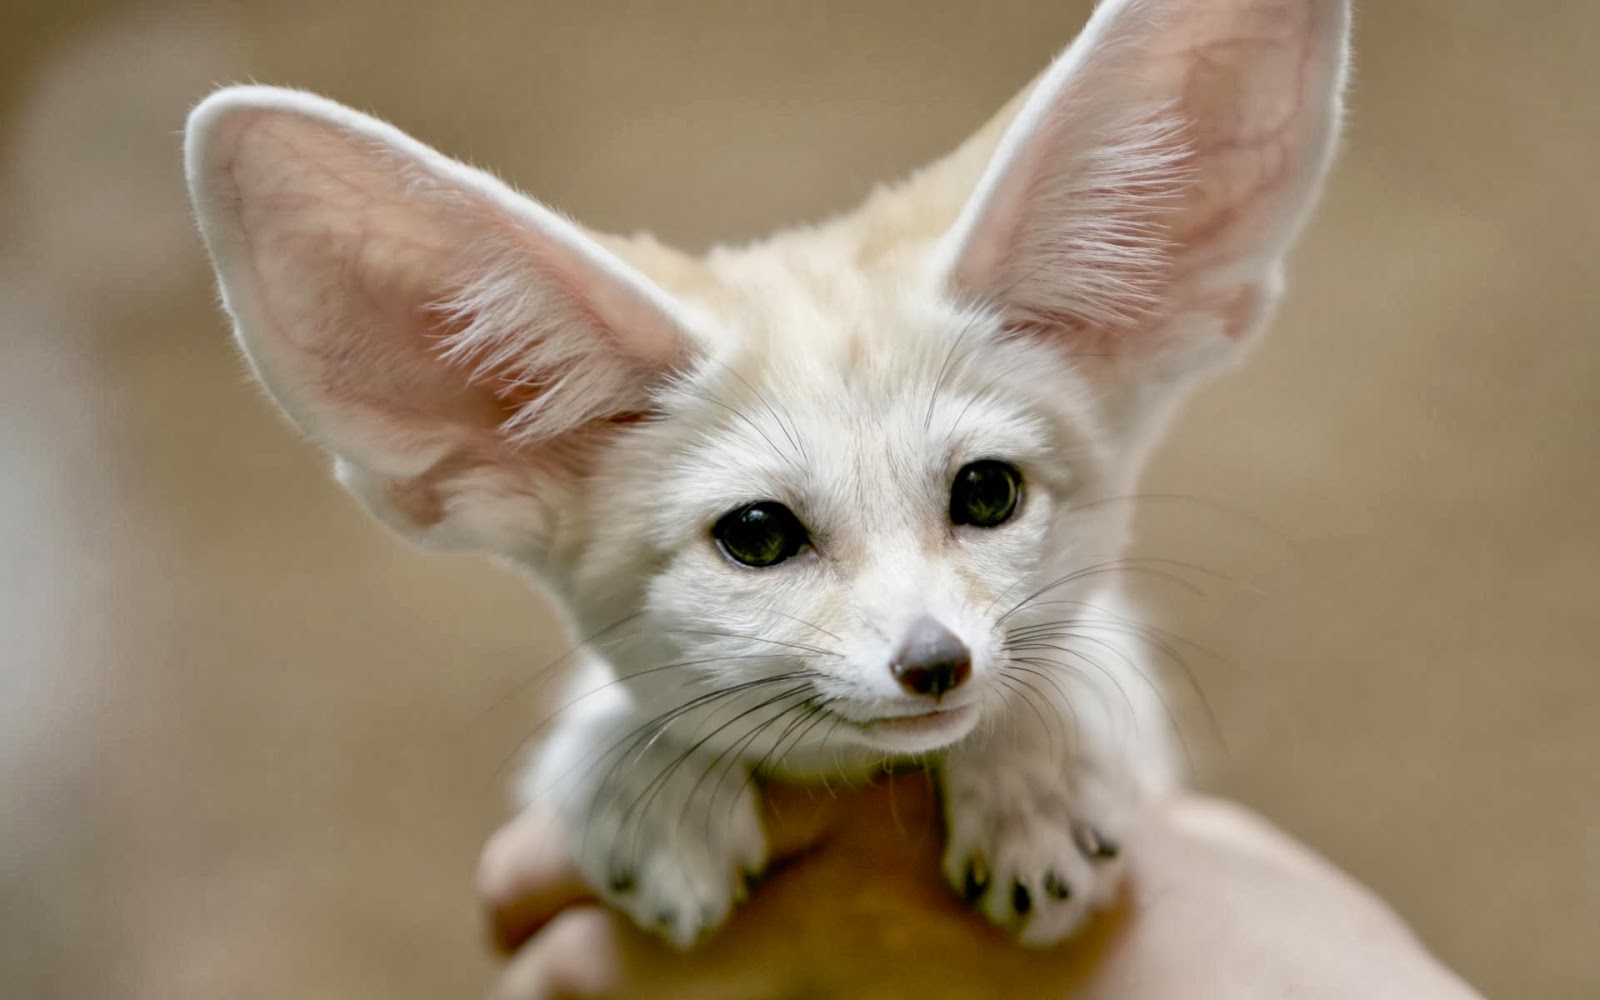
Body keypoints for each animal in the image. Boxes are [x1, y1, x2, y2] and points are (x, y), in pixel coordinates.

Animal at [185, 0, 1350, 949]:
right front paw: (643, 778)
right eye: (757, 535)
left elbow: (1079, 655)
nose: (936, 664)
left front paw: (1035, 775)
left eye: (986, 493)